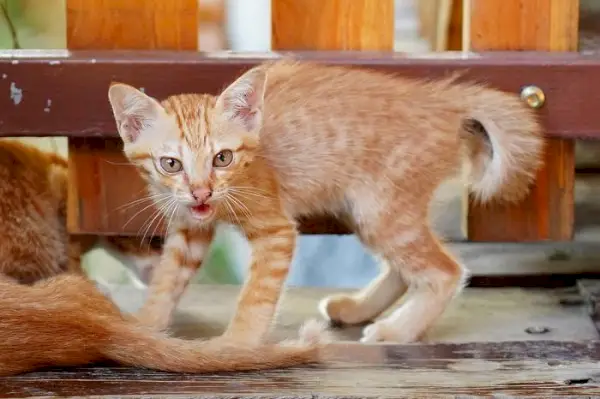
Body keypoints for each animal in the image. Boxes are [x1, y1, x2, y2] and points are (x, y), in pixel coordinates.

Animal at [108, 61, 544, 346]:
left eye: (223, 158)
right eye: (171, 164)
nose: (202, 192)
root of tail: (440, 98)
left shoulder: (276, 230)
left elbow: (256, 295)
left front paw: (237, 343)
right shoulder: (189, 227)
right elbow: (167, 279)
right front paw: (144, 324)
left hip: (380, 208)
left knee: (445, 271)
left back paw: (397, 331)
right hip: (373, 212)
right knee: (405, 267)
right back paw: (359, 309)